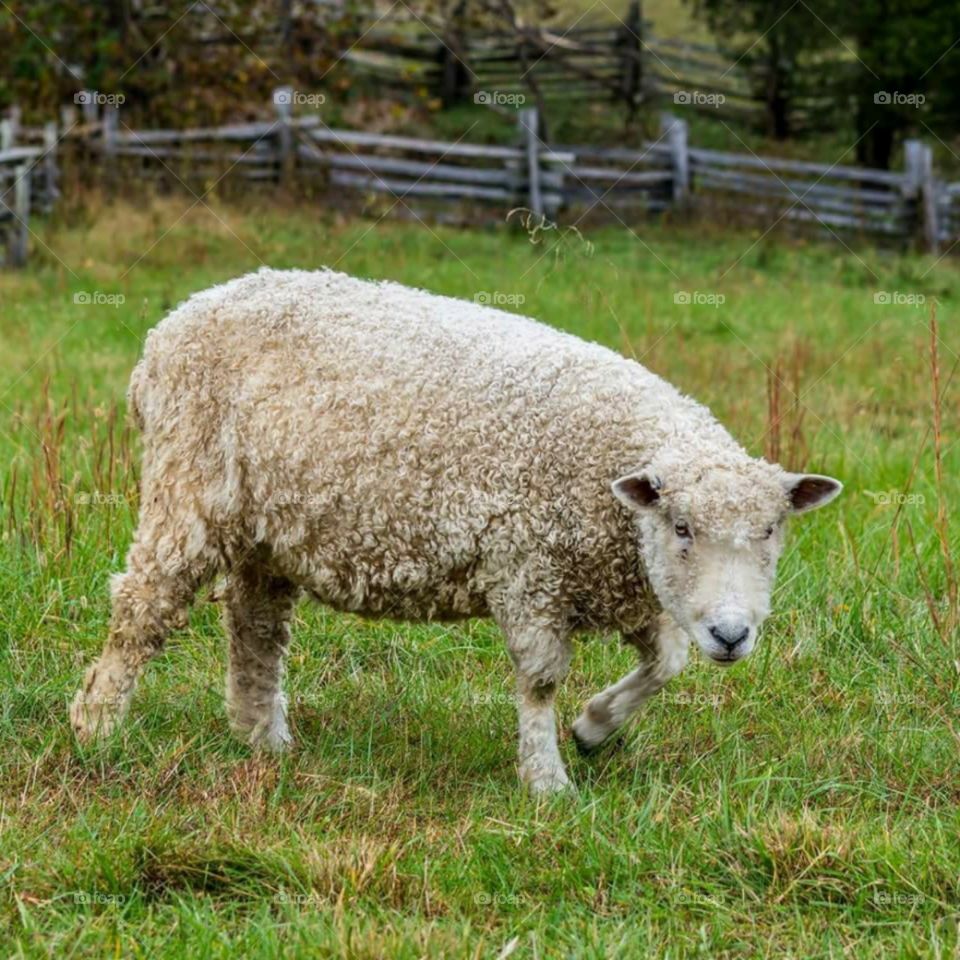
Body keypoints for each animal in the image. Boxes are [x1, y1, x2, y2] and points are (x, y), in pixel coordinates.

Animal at [69, 267, 842, 793]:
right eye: (681, 526)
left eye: (772, 531)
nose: (733, 635)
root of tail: (170, 328)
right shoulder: (531, 569)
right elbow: (540, 680)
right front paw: (546, 779)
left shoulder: (620, 581)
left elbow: (667, 662)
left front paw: (595, 728)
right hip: (189, 491)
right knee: (143, 607)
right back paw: (97, 727)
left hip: (267, 530)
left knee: (254, 629)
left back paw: (264, 741)